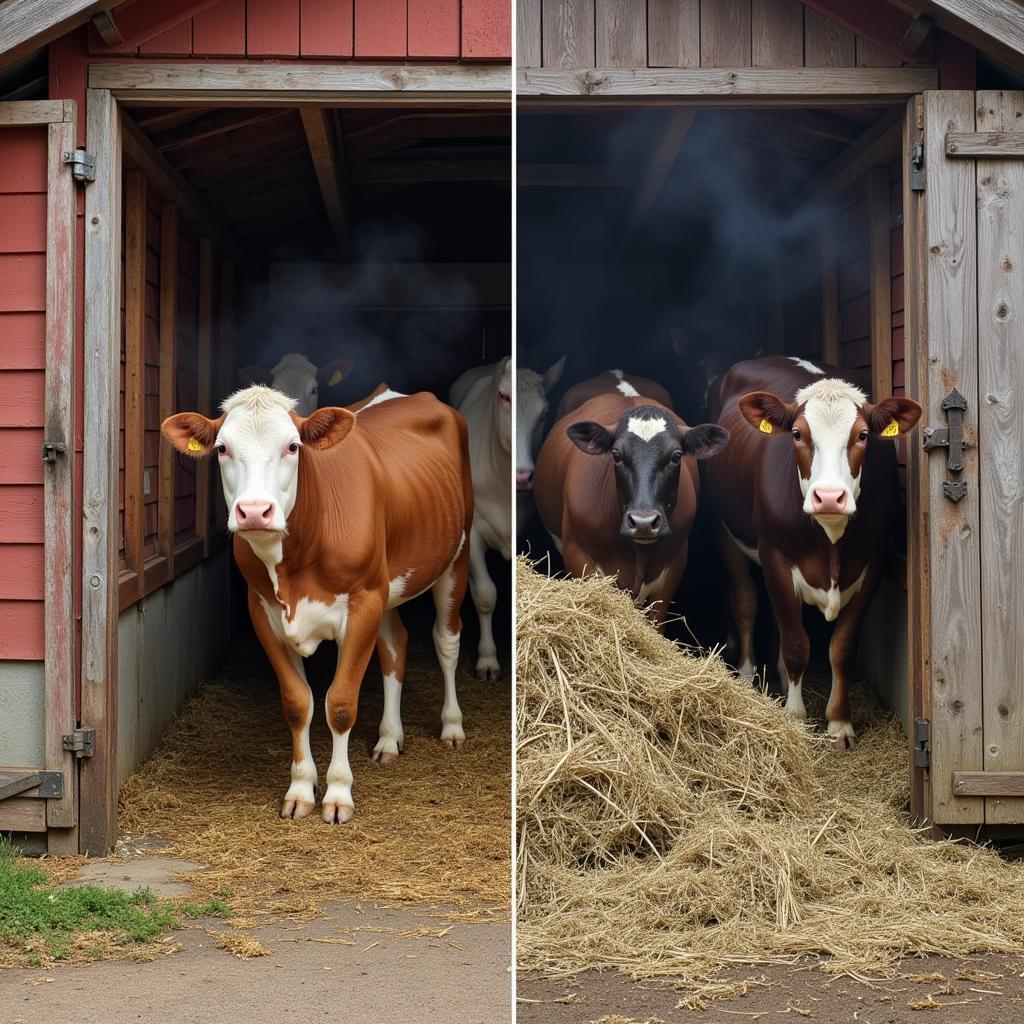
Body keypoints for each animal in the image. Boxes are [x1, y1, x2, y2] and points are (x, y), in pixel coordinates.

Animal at [454, 352, 569, 679]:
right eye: (504, 397)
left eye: (544, 413)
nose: (524, 475)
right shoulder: (473, 531)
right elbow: (485, 594)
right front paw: (487, 660)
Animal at [704, 356, 921, 749]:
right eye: (797, 434)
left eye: (863, 435)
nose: (830, 497)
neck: (830, 541)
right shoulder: (775, 555)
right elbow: (796, 645)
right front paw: (794, 718)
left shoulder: (874, 561)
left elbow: (842, 648)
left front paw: (839, 723)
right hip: (722, 527)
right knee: (745, 600)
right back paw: (745, 674)